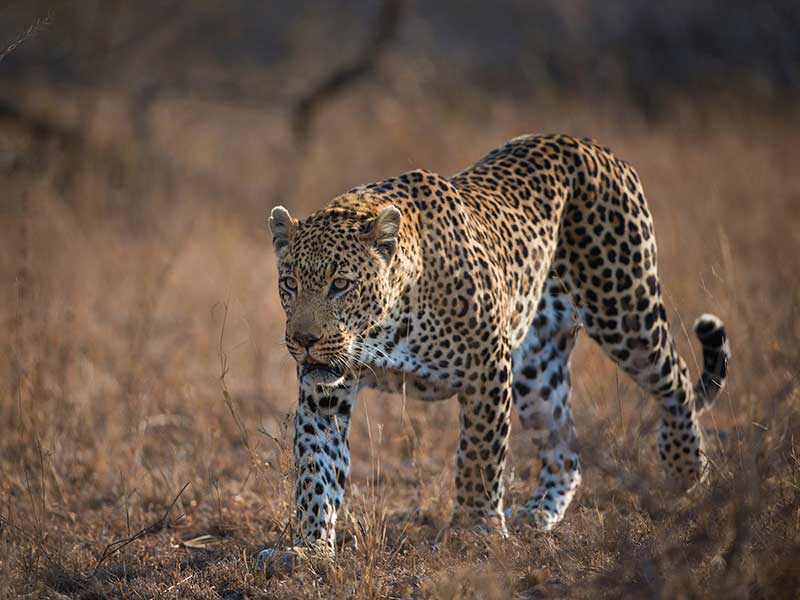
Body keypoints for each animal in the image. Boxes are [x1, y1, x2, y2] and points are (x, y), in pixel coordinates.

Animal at [260, 134, 728, 568]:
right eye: (290, 284)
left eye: (341, 284)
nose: (303, 340)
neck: (385, 325)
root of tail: (592, 144)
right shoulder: (324, 393)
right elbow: (316, 468)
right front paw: (308, 548)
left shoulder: (485, 366)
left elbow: (480, 455)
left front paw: (474, 531)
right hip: (537, 368)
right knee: (565, 449)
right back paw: (539, 513)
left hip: (624, 307)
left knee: (675, 378)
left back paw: (686, 471)